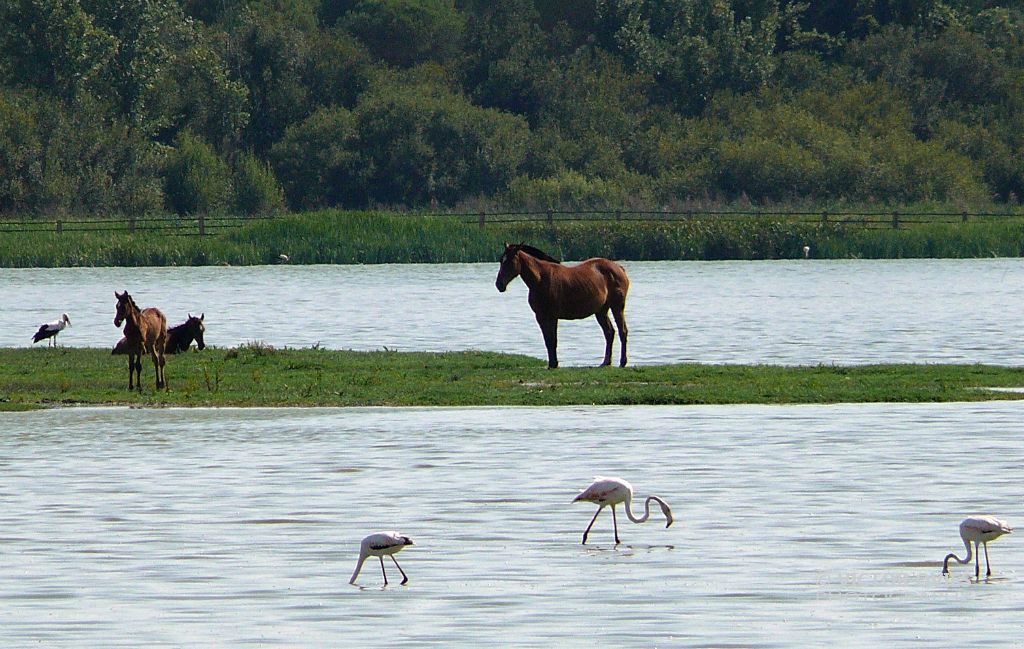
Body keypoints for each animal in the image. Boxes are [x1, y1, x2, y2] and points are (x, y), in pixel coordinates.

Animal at [493, 241, 626, 366]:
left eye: (510, 261)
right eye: (501, 260)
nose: (499, 284)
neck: (541, 279)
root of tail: (619, 267)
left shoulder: (552, 316)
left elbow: (553, 340)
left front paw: (554, 363)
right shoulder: (540, 316)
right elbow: (548, 340)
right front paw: (552, 364)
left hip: (617, 307)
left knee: (622, 331)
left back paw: (622, 362)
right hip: (601, 311)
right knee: (609, 333)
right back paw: (606, 362)